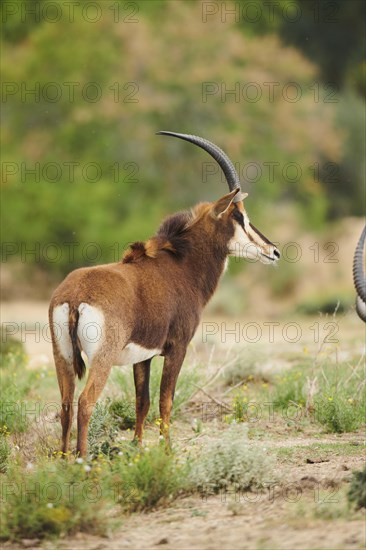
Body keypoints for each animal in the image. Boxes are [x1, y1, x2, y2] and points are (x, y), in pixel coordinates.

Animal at [49, 133, 280, 458]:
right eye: (239, 216)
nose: (273, 251)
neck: (181, 266)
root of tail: (74, 295)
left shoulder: (142, 357)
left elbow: (142, 401)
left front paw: (136, 447)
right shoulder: (177, 347)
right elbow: (165, 400)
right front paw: (167, 452)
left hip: (63, 357)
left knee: (66, 405)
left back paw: (65, 460)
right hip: (101, 360)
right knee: (85, 403)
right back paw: (83, 461)